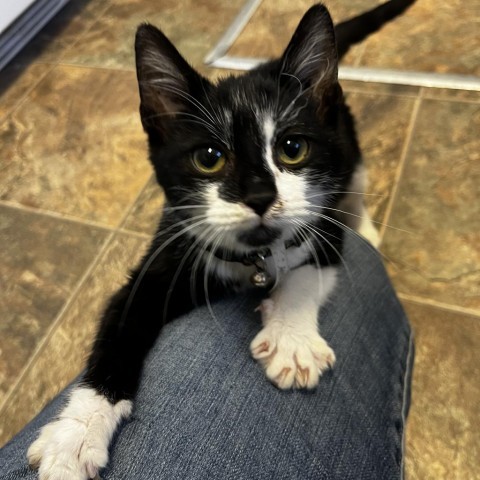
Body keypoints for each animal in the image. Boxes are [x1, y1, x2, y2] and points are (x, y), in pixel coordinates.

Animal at [27, 1, 416, 478]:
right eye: (209, 158)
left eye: (293, 149)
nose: (260, 196)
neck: (255, 258)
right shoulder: (170, 248)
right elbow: (118, 326)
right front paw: (76, 432)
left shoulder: (324, 221)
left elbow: (310, 269)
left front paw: (292, 340)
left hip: (345, 138)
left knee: (357, 180)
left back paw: (367, 228)